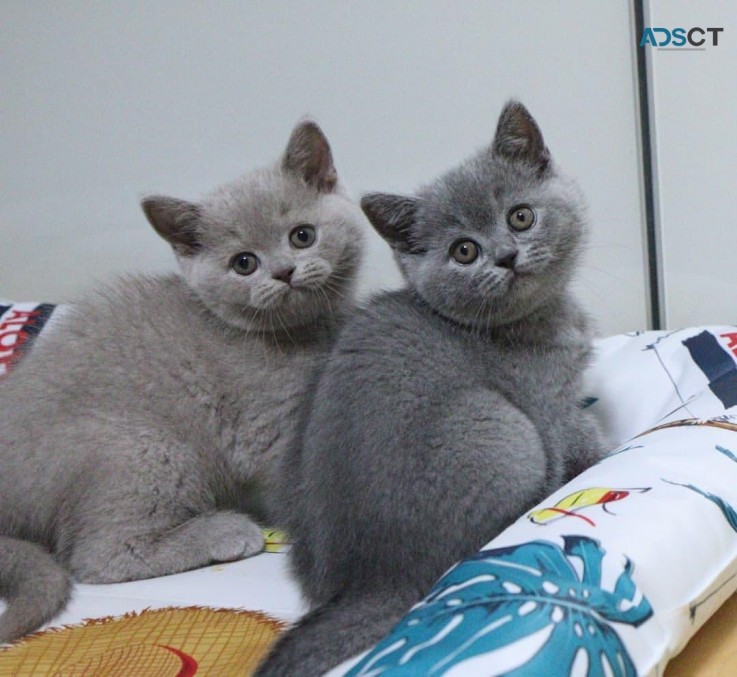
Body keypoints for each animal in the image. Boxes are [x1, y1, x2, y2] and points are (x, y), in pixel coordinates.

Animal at [0, 121, 366, 644]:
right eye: (243, 263)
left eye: (303, 236)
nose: (284, 272)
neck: (297, 335)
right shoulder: (265, 430)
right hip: (146, 446)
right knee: (96, 556)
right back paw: (226, 531)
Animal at [256, 101, 608, 676]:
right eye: (464, 251)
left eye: (520, 216)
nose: (505, 257)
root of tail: (373, 578)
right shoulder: (549, 409)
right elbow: (586, 444)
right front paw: (610, 450)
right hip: (500, 427)